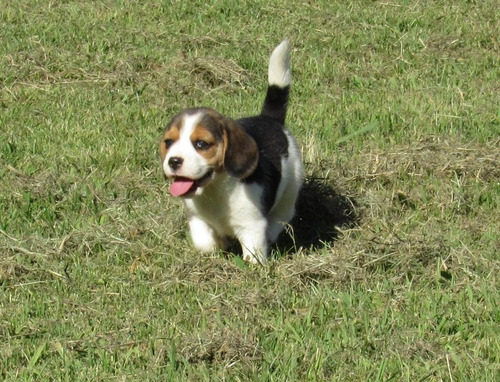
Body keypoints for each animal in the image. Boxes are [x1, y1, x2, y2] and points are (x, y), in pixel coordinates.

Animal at [160, 40, 302, 264]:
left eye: (201, 144)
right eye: (169, 141)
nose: (173, 161)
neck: (215, 190)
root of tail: (269, 119)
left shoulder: (252, 226)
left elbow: (253, 256)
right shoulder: (197, 219)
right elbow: (204, 243)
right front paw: (218, 246)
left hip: (292, 185)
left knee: (283, 215)